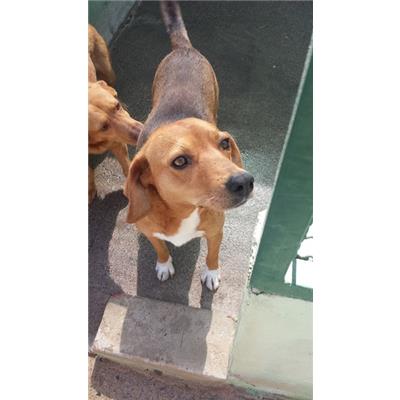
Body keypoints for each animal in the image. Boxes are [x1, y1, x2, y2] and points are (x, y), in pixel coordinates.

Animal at [88, 25, 143, 203]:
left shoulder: (118, 143)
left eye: (117, 106)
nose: (141, 132)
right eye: (104, 126)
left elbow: (126, 164)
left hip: (107, 69)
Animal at [124, 1, 254, 290]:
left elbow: (212, 255)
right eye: (180, 161)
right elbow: (161, 248)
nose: (245, 181)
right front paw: (164, 265)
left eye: (224, 143)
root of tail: (182, 48)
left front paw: (212, 273)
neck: (184, 209)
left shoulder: (216, 231)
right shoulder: (149, 231)